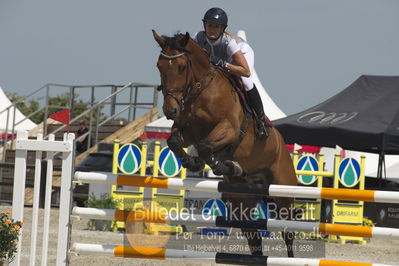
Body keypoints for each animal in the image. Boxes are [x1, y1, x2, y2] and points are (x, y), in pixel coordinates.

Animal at [153, 29, 300, 258]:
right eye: (159, 66)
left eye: (182, 67)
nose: (170, 110)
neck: (201, 90)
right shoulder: (188, 132)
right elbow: (174, 141)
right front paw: (194, 162)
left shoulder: (228, 129)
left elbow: (205, 147)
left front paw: (217, 164)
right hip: (242, 199)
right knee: (253, 236)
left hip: (283, 190)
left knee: (288, 231)